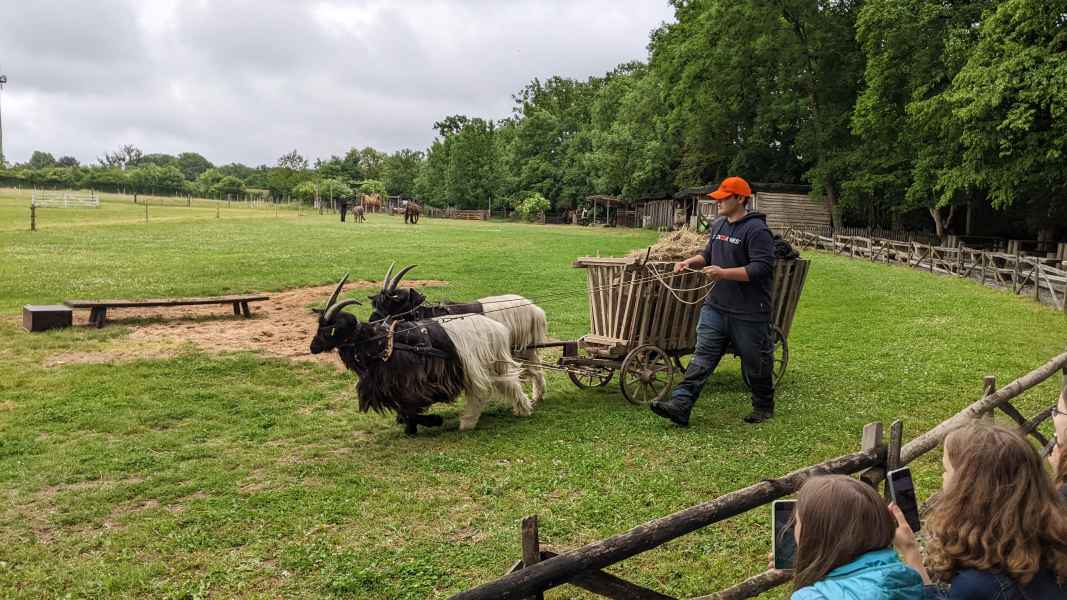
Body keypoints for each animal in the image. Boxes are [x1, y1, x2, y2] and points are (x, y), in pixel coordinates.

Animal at [310, 274, 533, 435]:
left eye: (328, 330)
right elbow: (404, 409)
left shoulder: (409, 383)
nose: (313, 347)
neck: (380, 342)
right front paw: (411, 426)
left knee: (502, 384)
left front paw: (431, 421)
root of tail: (496, 328)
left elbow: (409, 407)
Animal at [367, 263, 547, 405]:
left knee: (537, 369)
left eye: (394, 301)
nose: (372, 322)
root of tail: (535, 310)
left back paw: (537, 396)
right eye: (376, 303)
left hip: (524, 347)